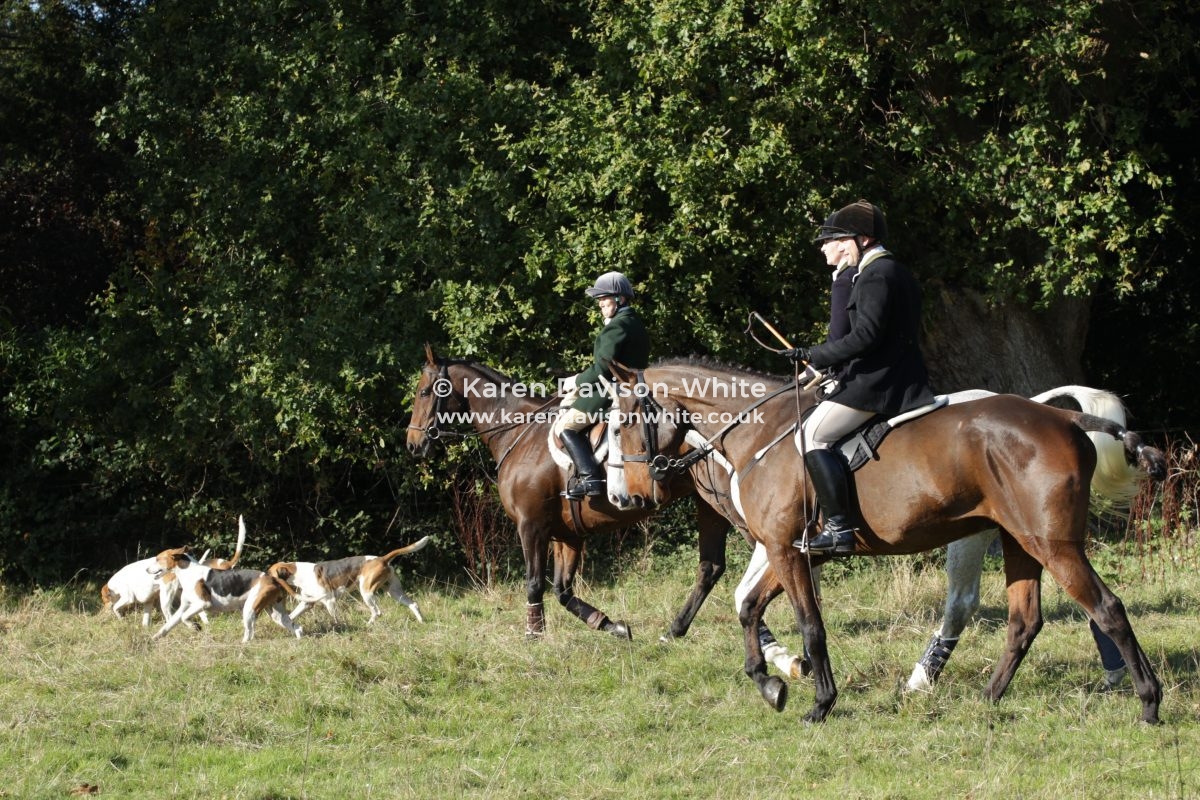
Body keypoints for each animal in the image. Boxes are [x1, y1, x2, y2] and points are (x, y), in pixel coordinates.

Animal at [267, 536, 431, 625]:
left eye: (269, 574)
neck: (298, 573)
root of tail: (382, 559)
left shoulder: (329, 601)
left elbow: (334, 617)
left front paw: (338, 627)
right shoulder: (306, 602)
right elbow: (291, 615)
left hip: (366, 592)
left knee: (377, 612)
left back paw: (368, 625)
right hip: (394, 592)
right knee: (413, 604)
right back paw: (421, 621)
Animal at [610, 357, 1167, 724]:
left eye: (622, 423)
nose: (627, 495)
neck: (759, 435)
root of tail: (1064, 416)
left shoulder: (785, 550)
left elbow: (809, 626)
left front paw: (820, 702)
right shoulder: (788, 551)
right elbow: (749, 607)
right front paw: (770, 682)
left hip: (1051, 544)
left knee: (1106, 608)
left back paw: (1148, 702)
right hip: (1020, 544)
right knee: (1024, 622)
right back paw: (988, 699)